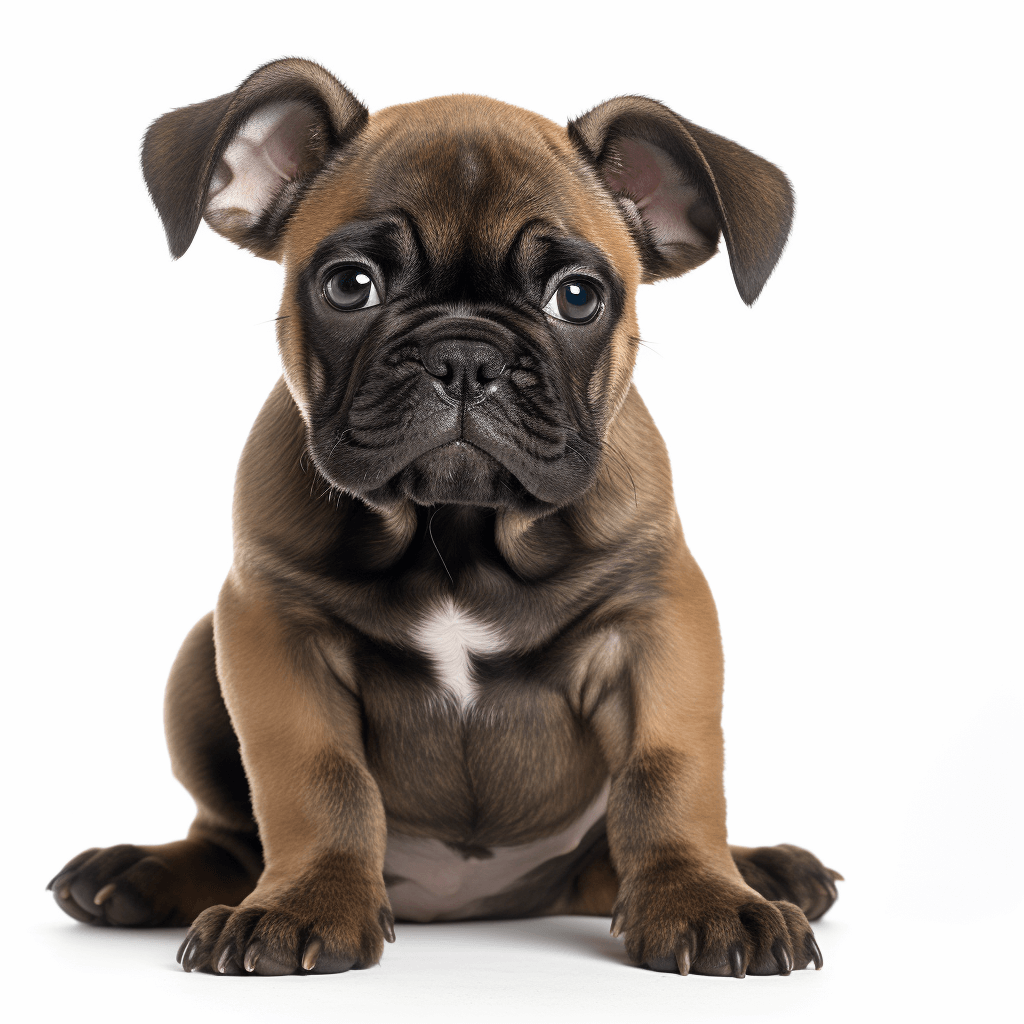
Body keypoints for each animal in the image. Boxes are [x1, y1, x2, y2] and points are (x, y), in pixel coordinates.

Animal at [49, 56, 839, 974]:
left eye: (578, 297)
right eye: (350, 285)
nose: (464, 355)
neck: (458, 528)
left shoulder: (657, 620)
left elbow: (668, 771)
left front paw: (703, 899)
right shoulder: (271, 629)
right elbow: (315, 778)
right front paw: (306, 903)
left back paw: (766, 869)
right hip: (195, 656)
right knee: (227, 836)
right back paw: (140, 873)